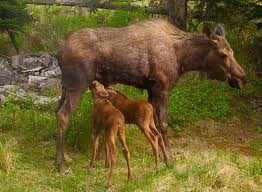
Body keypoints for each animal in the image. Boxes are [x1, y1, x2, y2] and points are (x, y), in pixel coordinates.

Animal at [54, 19, 246, 172]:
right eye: (223, 54)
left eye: (233, 52)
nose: (242, 78)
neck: (183, 59)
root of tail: (58, 52)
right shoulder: (161, 88)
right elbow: (163, 124)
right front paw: (170, 158)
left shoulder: (151, 90)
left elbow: (155, 126)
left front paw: (160, 157)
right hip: (78, 83)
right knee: (64, 115)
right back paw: (61, 164)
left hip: (66, 86)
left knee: (57, 111)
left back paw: (63, 159)